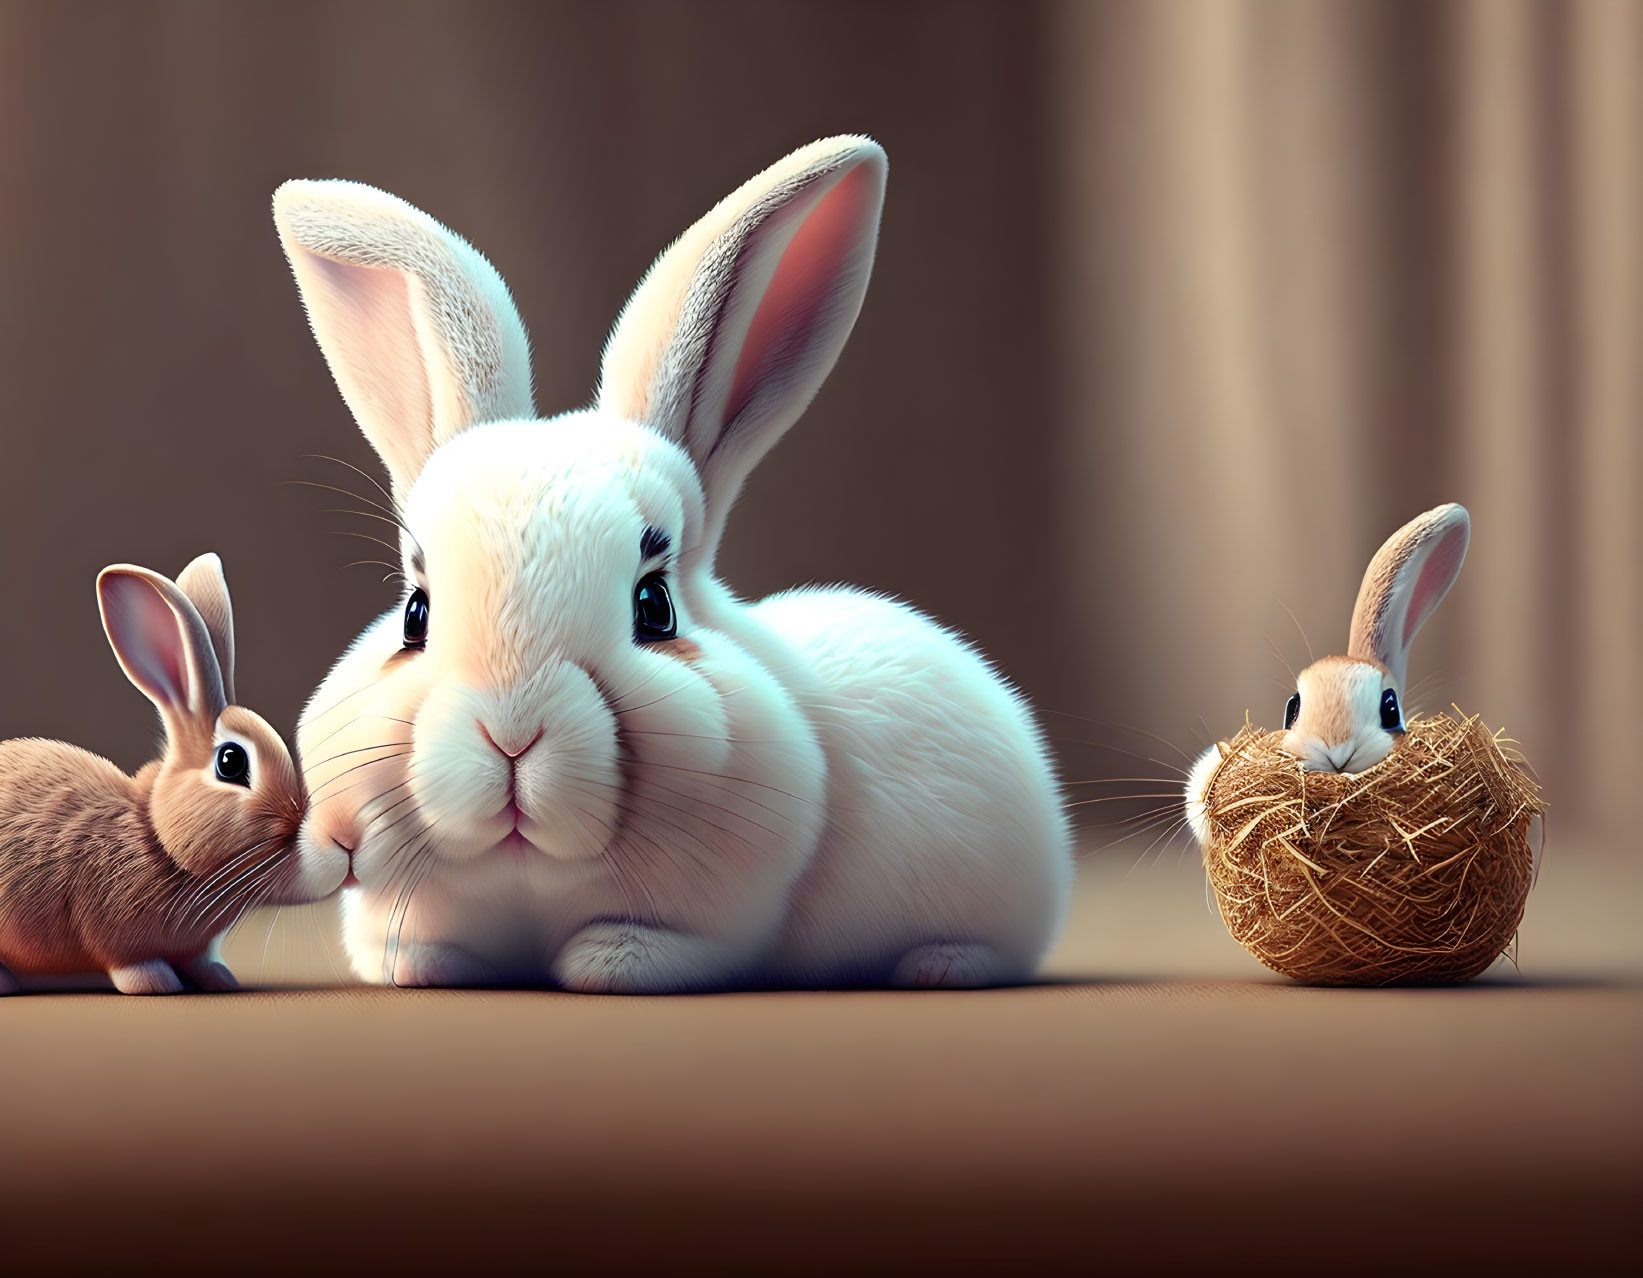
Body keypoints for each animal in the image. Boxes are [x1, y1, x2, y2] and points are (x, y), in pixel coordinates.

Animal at [0, 551, 346, 992]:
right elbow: (131, 961)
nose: (339, 851)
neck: (157, 839)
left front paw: (220, 977)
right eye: (231, 762)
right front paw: (157, 982)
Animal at [279, 132, 1077, 985]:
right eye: (415, 616)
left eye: (653, 607)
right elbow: (413, 951)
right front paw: (422, 966)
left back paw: (941, 964)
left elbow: (658, 946)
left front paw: (607, 960)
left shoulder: (729, 912)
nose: (512, 732)